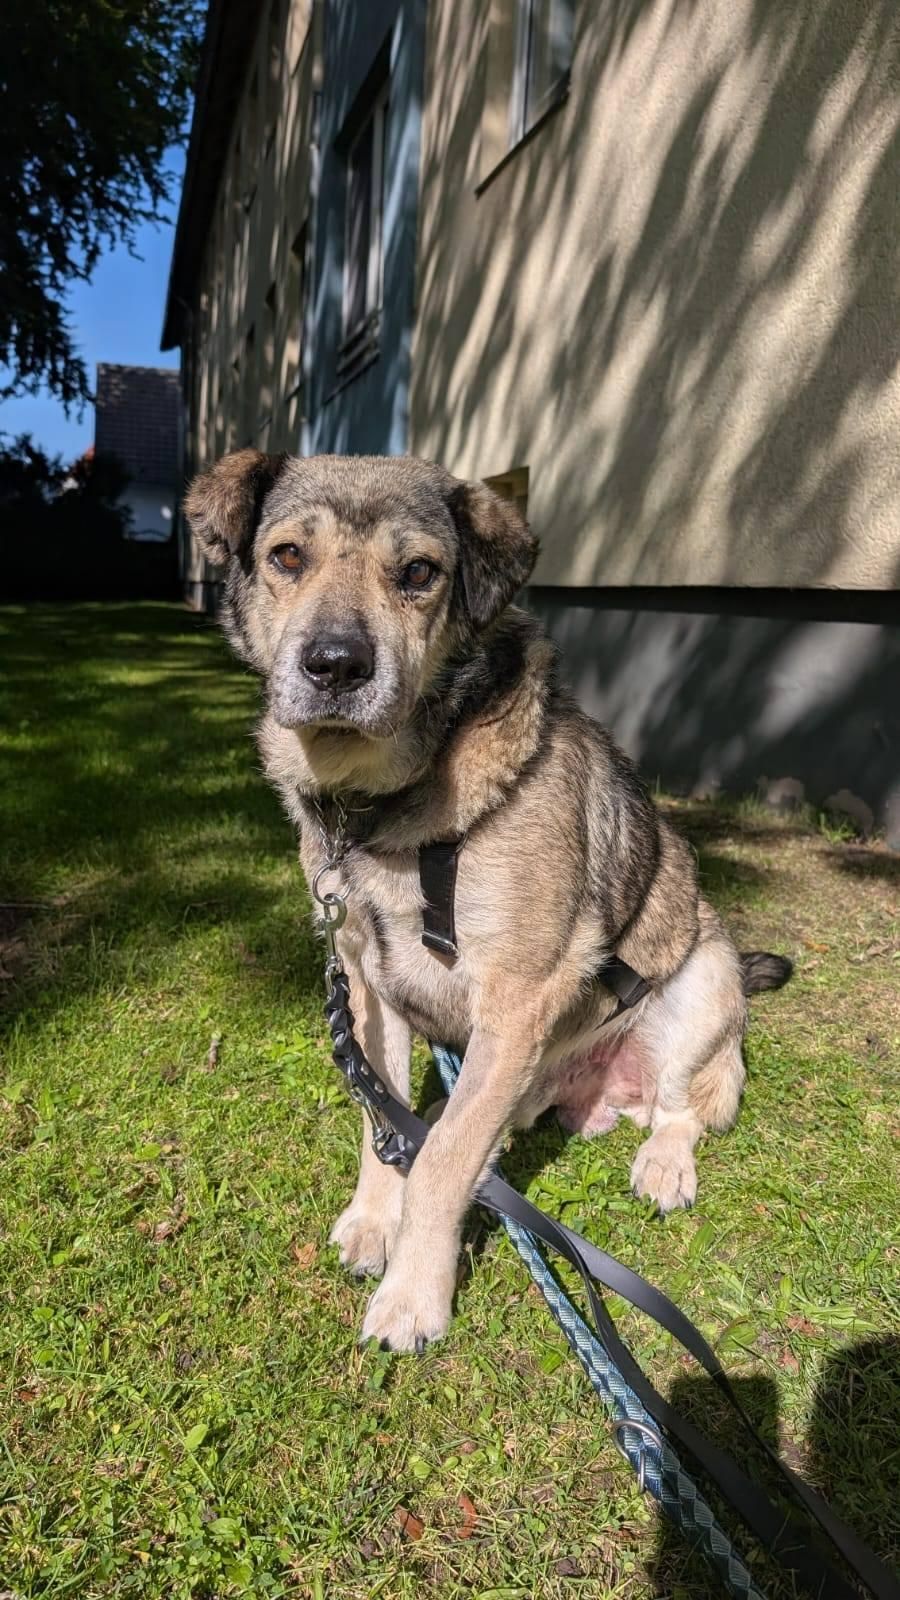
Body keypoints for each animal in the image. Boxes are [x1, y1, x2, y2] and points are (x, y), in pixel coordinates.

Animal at [185, 449, 792, 1353]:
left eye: (418, 573)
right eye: (287, 556)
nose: (335, 664)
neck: (379, 806)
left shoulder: (519, 991)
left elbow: (439, 1159)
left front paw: (413, 1297)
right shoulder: (365, 980)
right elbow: (383, 1118)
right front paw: (375, 1222)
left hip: (705, 983)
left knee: (682, 1108)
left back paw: (661, 1165)